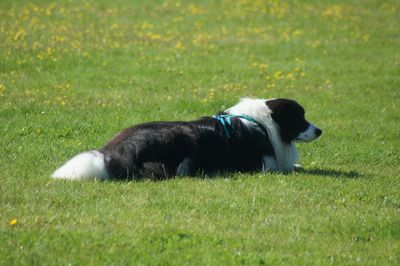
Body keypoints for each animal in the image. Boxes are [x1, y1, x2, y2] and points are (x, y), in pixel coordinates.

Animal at [52, 97, 322, 181]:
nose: (320, 131)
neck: (266, 124)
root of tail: (113, 153)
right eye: (300, 117)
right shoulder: (261, 164)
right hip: (181, 135)